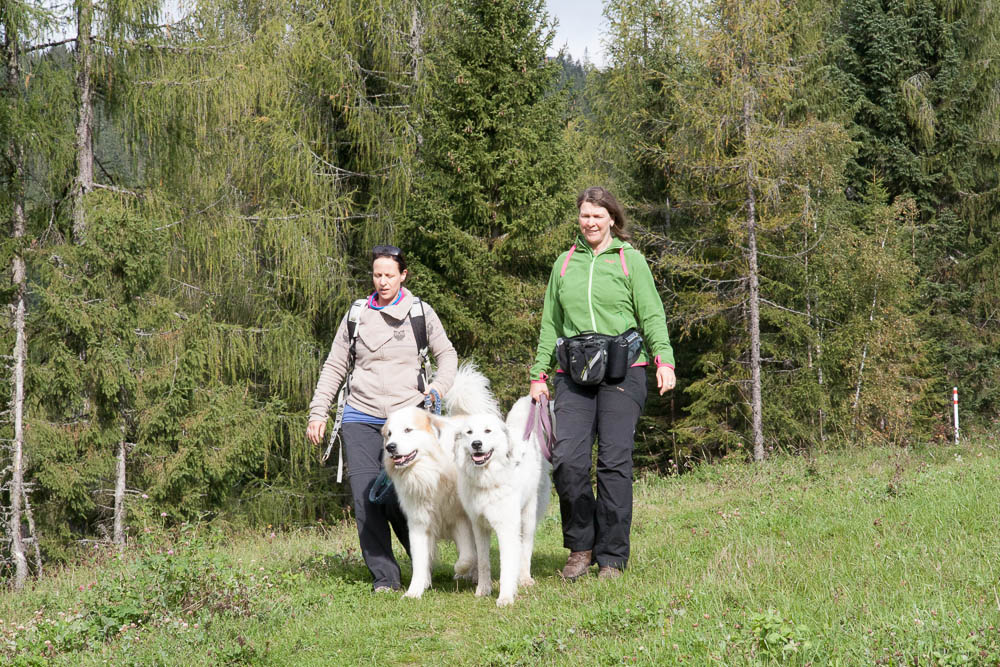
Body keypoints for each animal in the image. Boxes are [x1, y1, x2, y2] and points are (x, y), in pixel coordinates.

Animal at [378, 366, 500, 600]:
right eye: (389, 434)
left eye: (407, 430)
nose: (390, 447)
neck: (429, 473)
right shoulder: (418, 522)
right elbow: (419, 560)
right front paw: (414, 591)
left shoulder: (460, 518)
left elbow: (467, 556)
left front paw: (461, 570)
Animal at [456, 400, 552, 608]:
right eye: (469, 432)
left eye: (487, 431)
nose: (476, 444)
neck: (488, 479)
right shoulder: (479, 526)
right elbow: (483, 561)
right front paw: (483, 590)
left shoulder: (507, 528)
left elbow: (507, 564)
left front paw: (506, 597)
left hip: (528, 518)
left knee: (525, 549)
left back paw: (525, 578)